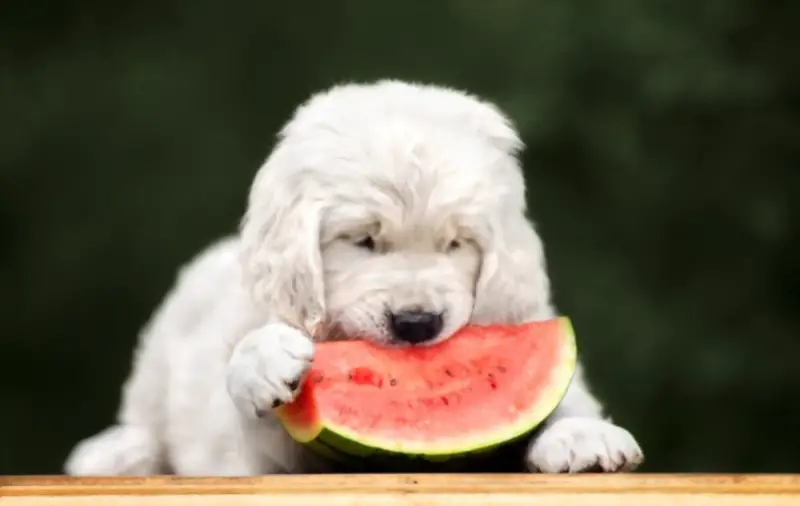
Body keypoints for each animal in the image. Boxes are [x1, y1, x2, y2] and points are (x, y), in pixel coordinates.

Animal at [64, 79, 644, 474]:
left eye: (456, 244)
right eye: (363, 240)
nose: (417, 324)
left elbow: (566, 397)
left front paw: (582, 435)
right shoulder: (266, 455)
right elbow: (250, 412)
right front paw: (262, 358)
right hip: (161, 351)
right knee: (144, 419)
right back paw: (117, 452)